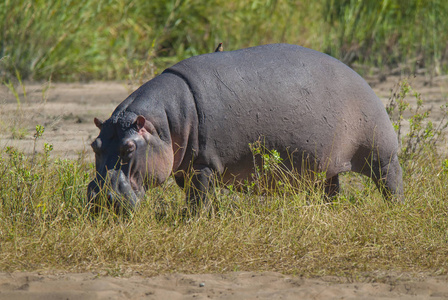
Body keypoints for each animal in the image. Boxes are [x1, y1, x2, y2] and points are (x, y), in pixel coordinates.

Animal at [86, 43, 402, 212]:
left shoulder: (204, 165)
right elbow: (199, 195)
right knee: (332, 188)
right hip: (327, 163)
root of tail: (359, 76)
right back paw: (327, 211)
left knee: (390, 180)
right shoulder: (186, 167)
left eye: (129, 148)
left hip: (381, 152)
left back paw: (395, 208)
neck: (160, 125)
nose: (101, 198)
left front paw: (191, 221)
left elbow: (199, 198)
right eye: (94, 145)